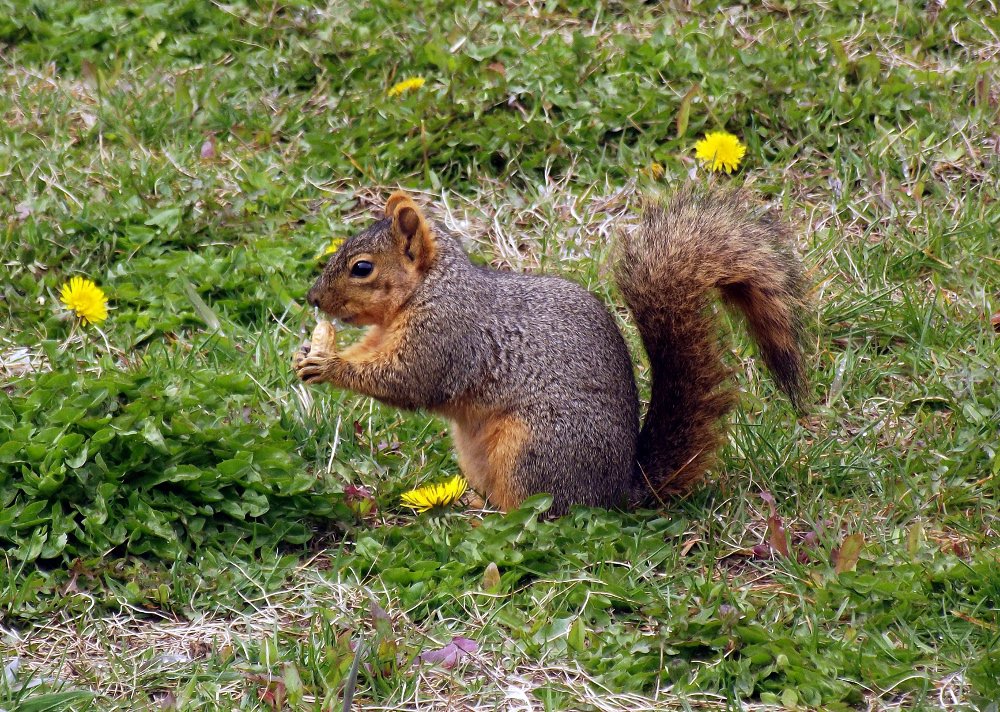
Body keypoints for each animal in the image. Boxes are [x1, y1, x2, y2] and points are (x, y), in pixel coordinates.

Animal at [292, 186, 804, 516]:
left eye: (362, 268)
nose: (313, 298)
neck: (426, 290)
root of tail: (617, 490)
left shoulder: (446, 335)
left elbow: (407, 380)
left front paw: (328, 363)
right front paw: (306, 353)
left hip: (533, 448)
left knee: (541, 510)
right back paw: (471, 501)